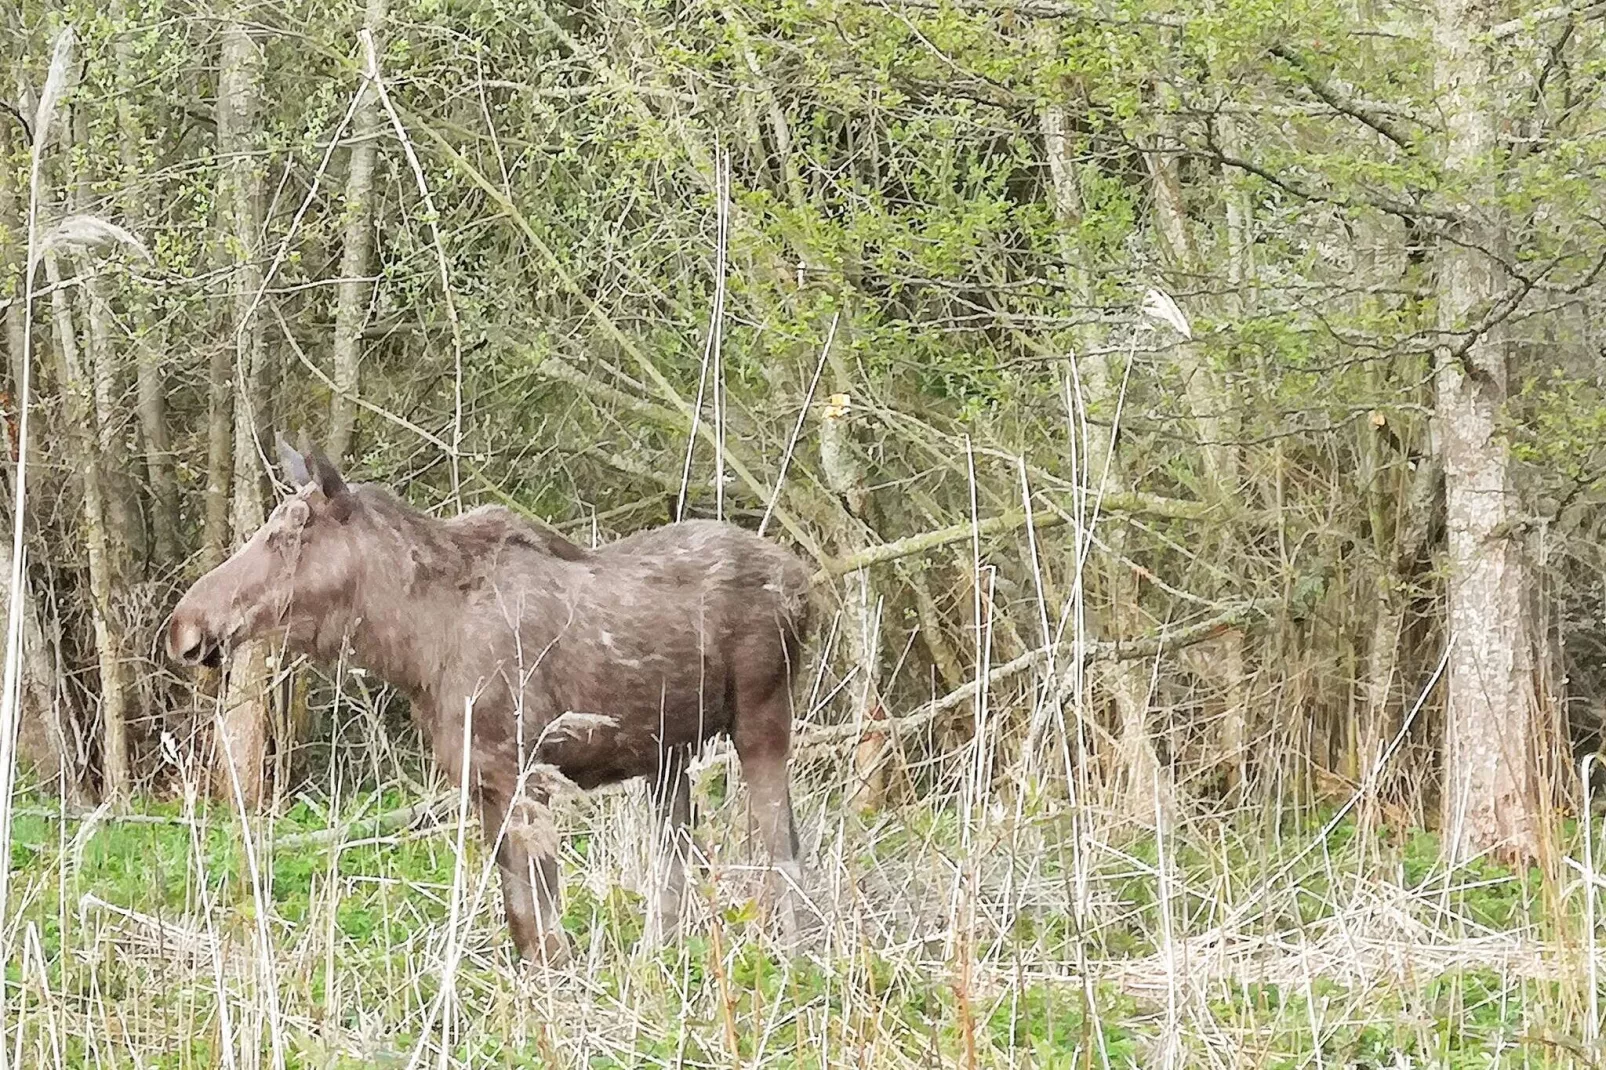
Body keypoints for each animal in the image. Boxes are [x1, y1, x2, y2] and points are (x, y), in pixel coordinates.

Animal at [167, 436, 815, 963]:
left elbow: (539, 917)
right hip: (668, 753)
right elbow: (521, 915)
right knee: (675, 864)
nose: (184, 627)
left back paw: (800, 957)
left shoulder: (520, 770)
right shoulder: (481, 778)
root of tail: (808, 586)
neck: (414, 648)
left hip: (762, 717)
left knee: (783, 842)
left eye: (290, 531)